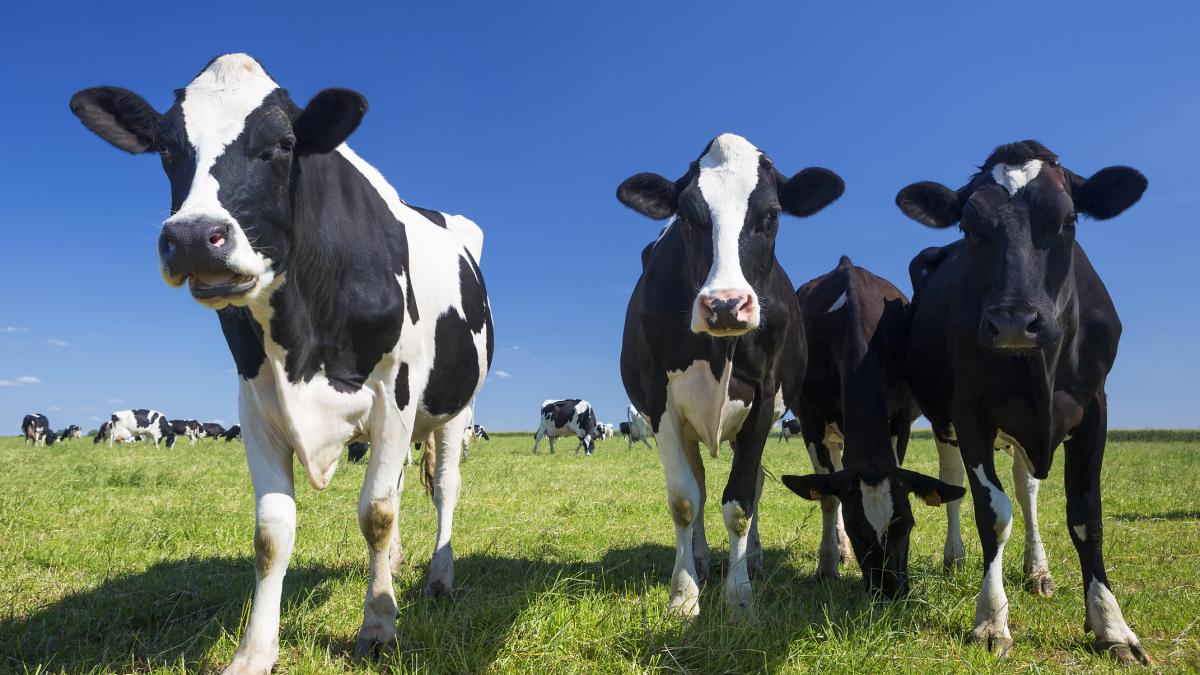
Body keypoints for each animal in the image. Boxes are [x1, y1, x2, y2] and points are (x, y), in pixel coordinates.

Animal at [71, 53, 494, 672]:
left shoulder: (394, 393)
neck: (300, 336)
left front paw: (379, 625)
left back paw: (438, 576)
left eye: (284, 143)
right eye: (166, 147)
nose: (194, 236)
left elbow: (376, 513)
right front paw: (254, 650)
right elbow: (272, 532)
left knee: (445, 487)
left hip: (454, 409)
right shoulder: (255, 402)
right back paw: (392, 568)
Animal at [617, 133, 843, 620]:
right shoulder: (660, 402)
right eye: (685, 215)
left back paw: (755, 559)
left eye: (772, 214)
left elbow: (740, 502)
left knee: (753, 485)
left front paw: (739, 600)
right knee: (700, 485)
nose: (724, 305)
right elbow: (685, 500)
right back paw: (701, 559)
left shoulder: (764, 398)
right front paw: (684, 594)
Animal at [779, 256, 963, 597]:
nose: (890, 590)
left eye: (907, 525)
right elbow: (828, 497)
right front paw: (827, 566)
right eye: (857, 531)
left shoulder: (901, 416)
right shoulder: (810, 421)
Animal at [895, 140, 1149, 663]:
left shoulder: (1095, 407)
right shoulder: (970, 411)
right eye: (969, 227)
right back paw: (955, 556)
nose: (1013, 322)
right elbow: (992, 513)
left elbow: (1085, 515)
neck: (1041, 369)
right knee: (954, 480)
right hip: (946, 418)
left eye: (1068, 219)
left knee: (1027, 488)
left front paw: (1112, 624)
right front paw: (991, 619)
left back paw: (1038, 571)